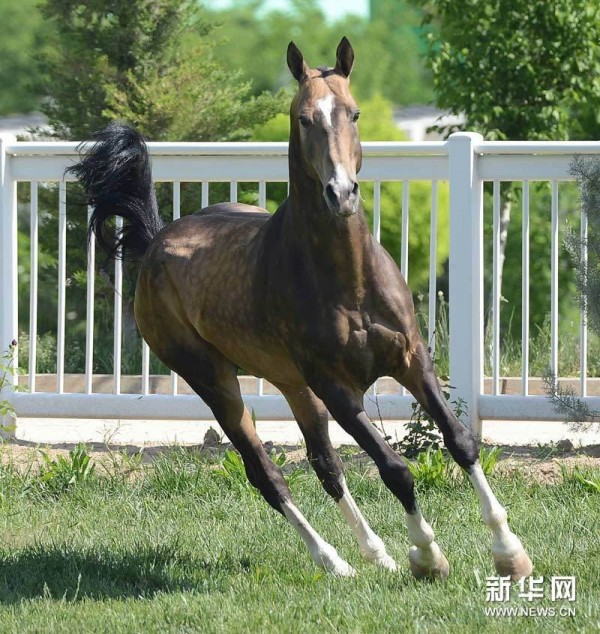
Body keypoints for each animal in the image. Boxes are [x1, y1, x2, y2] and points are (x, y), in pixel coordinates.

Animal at [68, 38, 532, 576]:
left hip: (293, 383)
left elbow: (460, 441)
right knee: (266, 474)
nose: (341, 193)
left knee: (324, 465)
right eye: (303, 118)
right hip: (215, 381)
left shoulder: (411, 360)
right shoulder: (337, 388)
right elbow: (394, 467)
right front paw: (427, 556)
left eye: (353, 113)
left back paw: (376, 557)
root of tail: (156, 242)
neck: (348, 282)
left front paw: (509, 551)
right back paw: (334, 561)